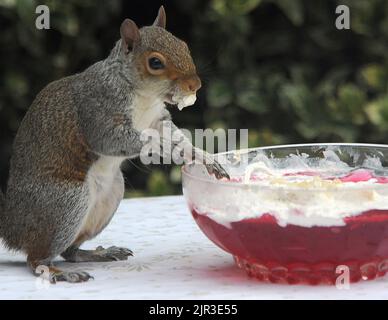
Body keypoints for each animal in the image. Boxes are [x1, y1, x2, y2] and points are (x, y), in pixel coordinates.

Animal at [0, 6, 229, 282]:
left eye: (183, 45)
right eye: (155, 62)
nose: (194, 85)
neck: (144, 95)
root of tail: (11, 226)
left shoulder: (158, 119)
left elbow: (176, 137)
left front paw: (204, 156)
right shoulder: (98, 112)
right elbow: (116, 138)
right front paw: (166, 148)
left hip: (111, 193)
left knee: (69, 252)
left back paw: (98, 253)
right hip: (64, 202)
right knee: (35, 258)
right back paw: (56, 272)